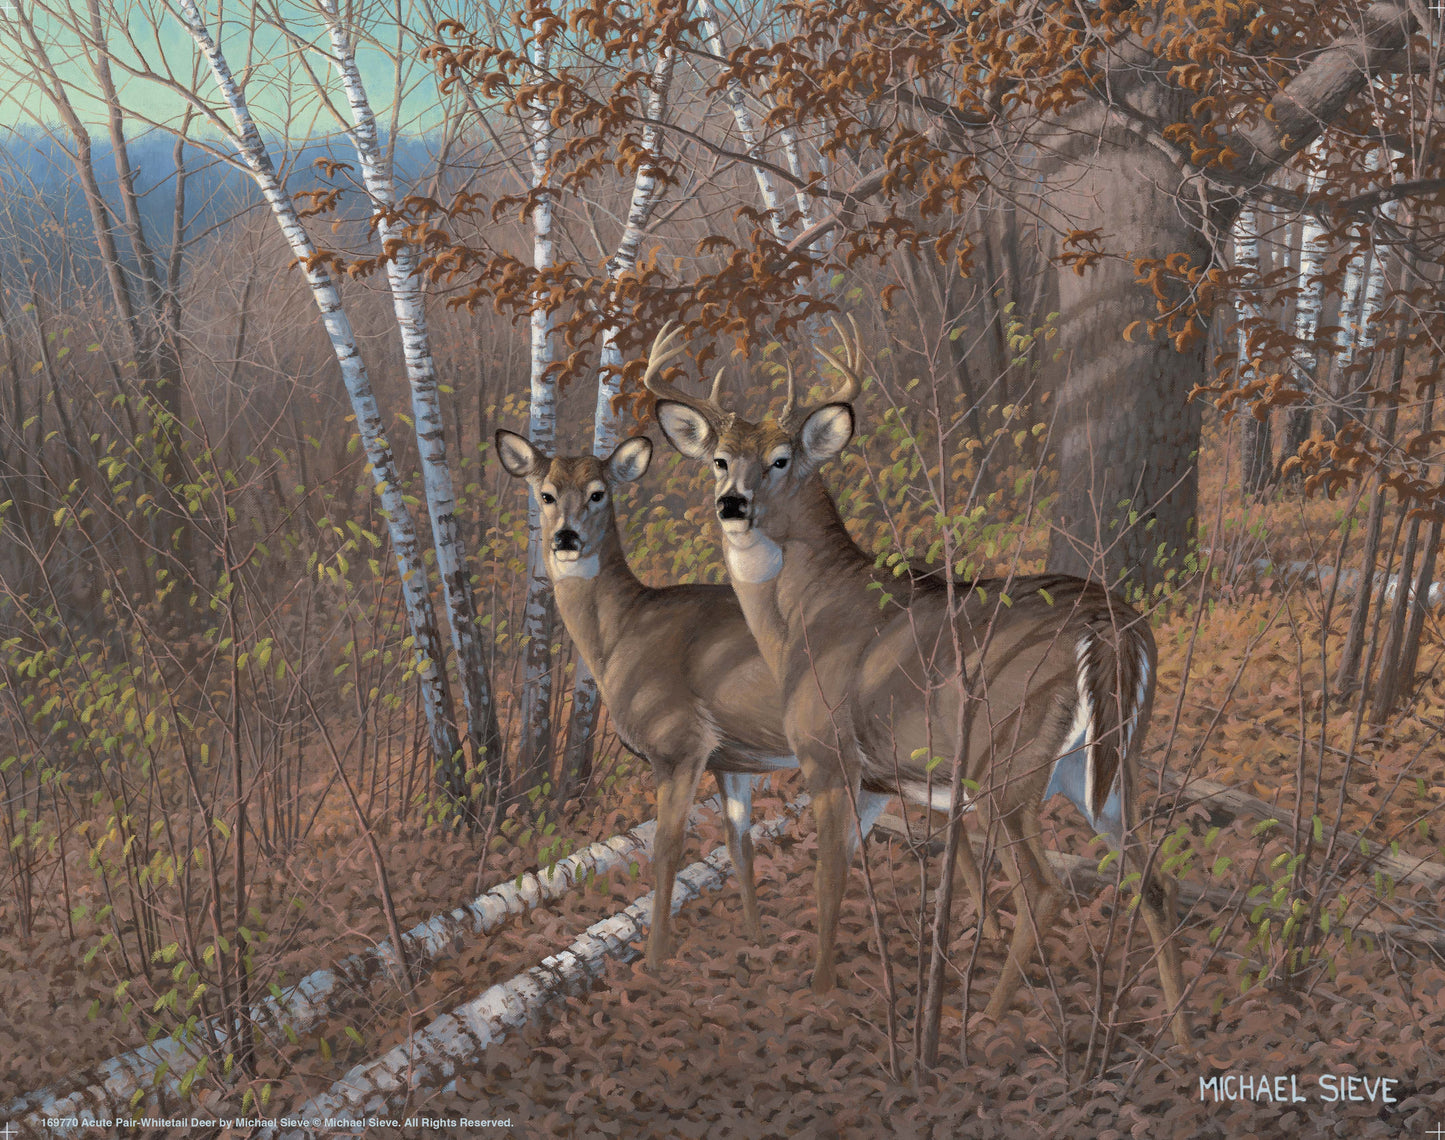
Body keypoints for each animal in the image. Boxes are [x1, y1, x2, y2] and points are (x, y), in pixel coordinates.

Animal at [645, 321, 1192, 1047]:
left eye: (782, 459)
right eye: (718, 459)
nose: (732, 504)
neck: (802, 620)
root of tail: (1115, 630)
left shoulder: (827, 753)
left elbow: (829, 877)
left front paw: (820, 991)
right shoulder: (886, 779)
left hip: (1008, 762)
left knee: (1047, 890)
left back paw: (984, 1021)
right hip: (1108, 767)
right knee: (1156, 883)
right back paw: (1180, 1036)